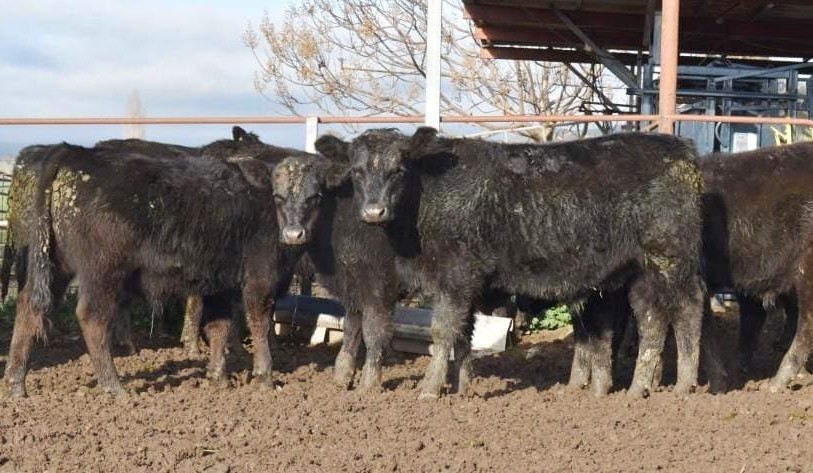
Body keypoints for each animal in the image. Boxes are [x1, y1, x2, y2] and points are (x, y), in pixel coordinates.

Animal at [3, 142, 301, 397]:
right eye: (284, 194)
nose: (295, 233)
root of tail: (72, 152)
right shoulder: (261, 277)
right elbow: (259, 322)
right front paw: (265, 378)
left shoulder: (220, 286)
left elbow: (219, 326)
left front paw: (220, 378)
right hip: (102, 272)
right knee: (92, 317)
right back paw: (114, 386)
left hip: (56, 266)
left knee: (29, 306)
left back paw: (16, 385)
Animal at [315, 128, 706, 399]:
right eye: (357, 172)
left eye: (398, 169)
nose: (373, 212)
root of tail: (681, 148)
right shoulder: (468, 283)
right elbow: (464, 336)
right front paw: (464, 388)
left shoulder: (455, 275)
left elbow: (443, 331)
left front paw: (429, 389)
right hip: (638, 271)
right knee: (652, 320)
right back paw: (638, 389)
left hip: (672, 259)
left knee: (688, 311)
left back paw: (684, 385)